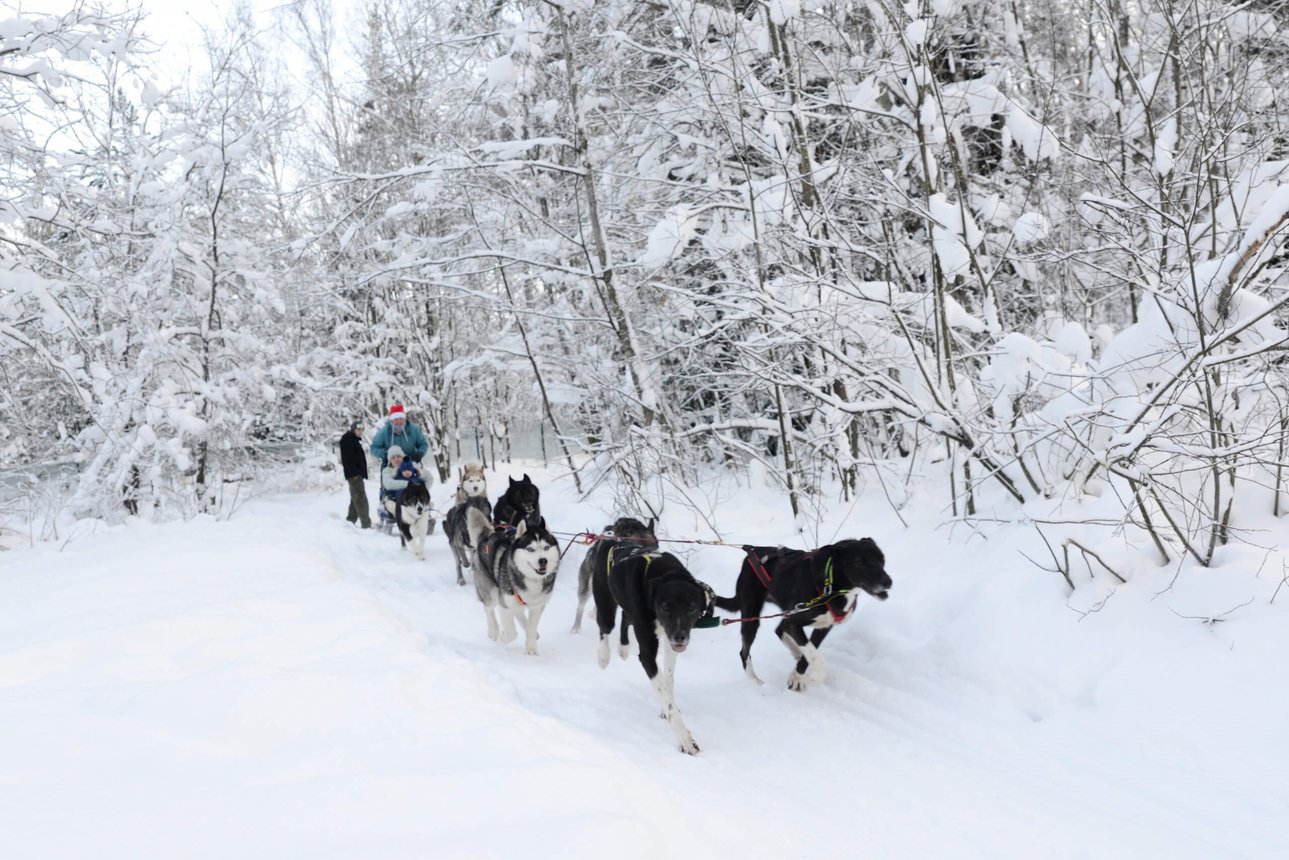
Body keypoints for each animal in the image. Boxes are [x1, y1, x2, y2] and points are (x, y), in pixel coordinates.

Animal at [466, 508, 562, 654]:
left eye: (546, 547)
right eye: (530, 549)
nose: (543, 561)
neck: (531, 579)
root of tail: (486, 536)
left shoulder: (537, 606)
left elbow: (531, 627)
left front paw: (531, 648)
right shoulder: (504, 605)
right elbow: (511, 633)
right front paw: (504, 636)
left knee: (519, 613)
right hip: (490, 593)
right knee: (489, 609)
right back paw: (493, 631)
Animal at [590, 544, 716, 752]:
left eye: (691, 607)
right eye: (665, 607)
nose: (680, 636)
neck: (665, 573)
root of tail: (612, 541)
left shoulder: (670, 642)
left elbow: (668, 680)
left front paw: (667, 704)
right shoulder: (648, 653)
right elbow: (663, 690)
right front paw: (684, 738)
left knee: (626, 617)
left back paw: (623, 647)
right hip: (605, 603)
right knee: (604, 628)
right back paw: (603, 656)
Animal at [711, 538, 891, 691]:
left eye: (882, 559)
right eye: (859, 562)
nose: (888, 581)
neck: (830, 585)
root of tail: (750, 554)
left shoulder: (822, 626)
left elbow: (810, 650)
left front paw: (797, 676)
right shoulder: (795, 622)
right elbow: (814, 654)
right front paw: (816, 675)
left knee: (779, 630)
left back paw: (796, 653)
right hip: (751, 617)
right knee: (744, 651)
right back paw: (755, 681)